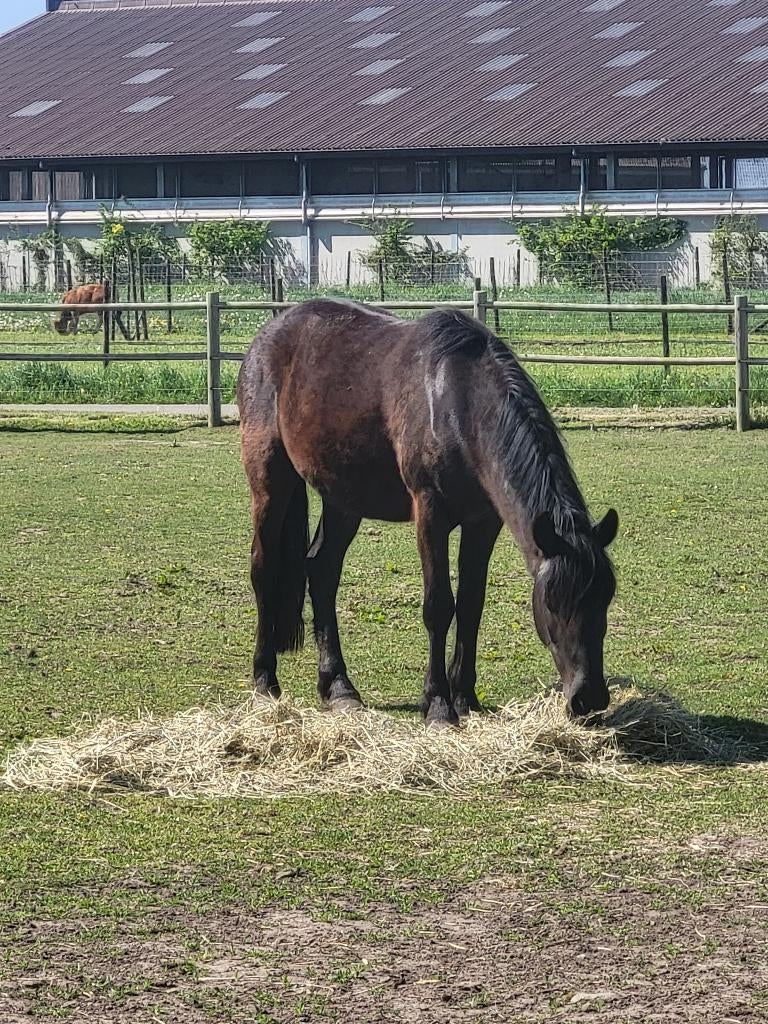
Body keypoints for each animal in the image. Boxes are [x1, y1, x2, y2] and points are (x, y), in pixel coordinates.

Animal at [237, 299, 618, 726]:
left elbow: (471, 604)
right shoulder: (430, 513)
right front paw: (437, 704)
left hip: (343, 498)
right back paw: (265, 682)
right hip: (269, 478)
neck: (459, 403)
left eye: (605, 598)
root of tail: (268, 335)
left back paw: (338, 687)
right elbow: (439, 605)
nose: (588, 697)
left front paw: (465, 697)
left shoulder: (483, 523)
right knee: (263, 569)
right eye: (552, 603)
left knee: (321, 570)